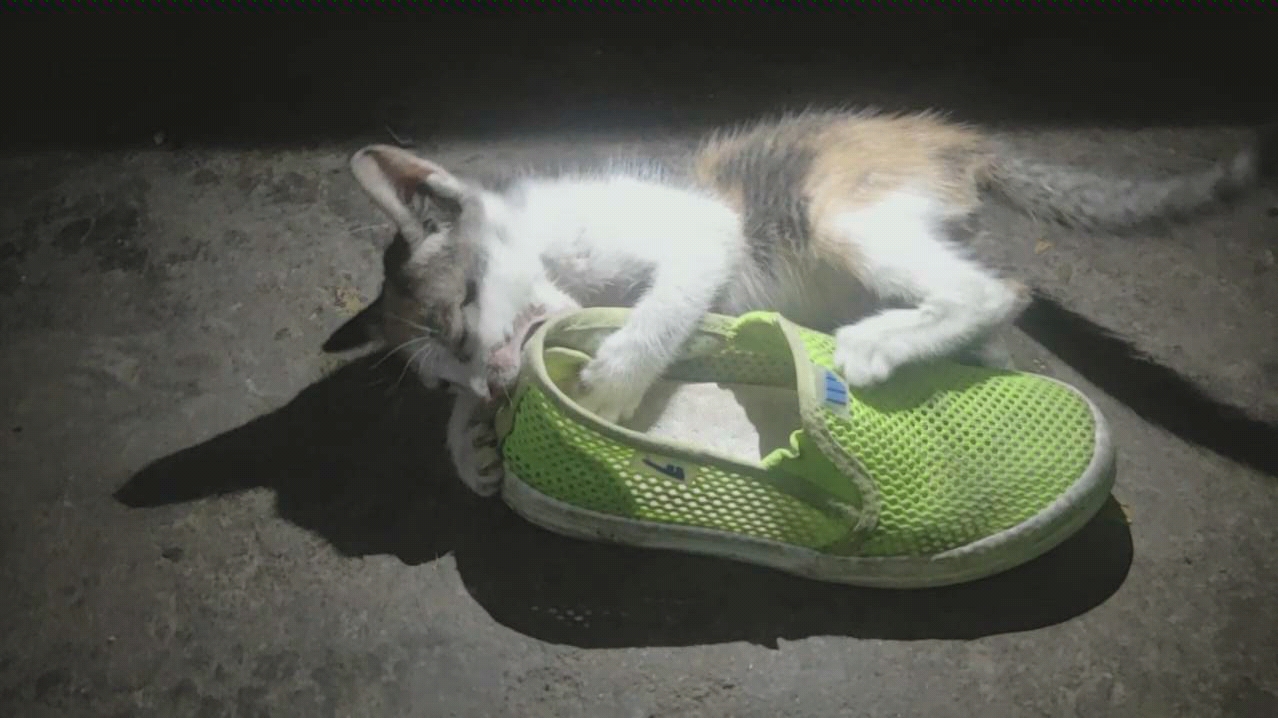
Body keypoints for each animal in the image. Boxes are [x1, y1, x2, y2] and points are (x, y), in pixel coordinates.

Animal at [324, 109, 1276, 496]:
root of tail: (956, 141)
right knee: (991, 310)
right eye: (440, 373)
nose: (485, 385)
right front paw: (470, 443)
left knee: (998, 288)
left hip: (837, 210)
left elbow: (660, 309)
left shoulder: (702, 229)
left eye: (459, 317)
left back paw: (881, 344)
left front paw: (611, 384)